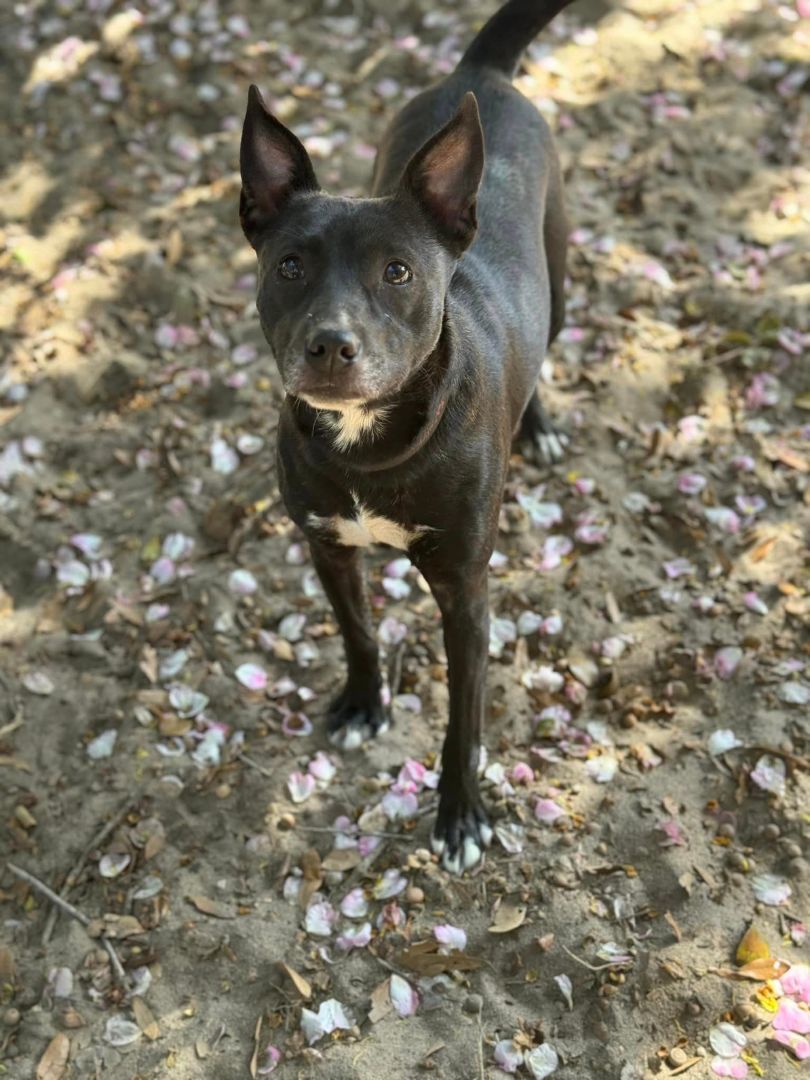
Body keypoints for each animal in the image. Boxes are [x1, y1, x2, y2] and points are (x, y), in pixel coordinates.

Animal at [243, 0, 578, 872]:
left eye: (397, 272)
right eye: (289, 266)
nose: (330, 344)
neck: (371, 443)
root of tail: (477, 74)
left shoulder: (465, 592)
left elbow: (465, 717)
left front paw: (460, 815)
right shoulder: (328, 546)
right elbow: (359, 632)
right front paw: (366, 705)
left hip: (561, 278)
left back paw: (539, 425)